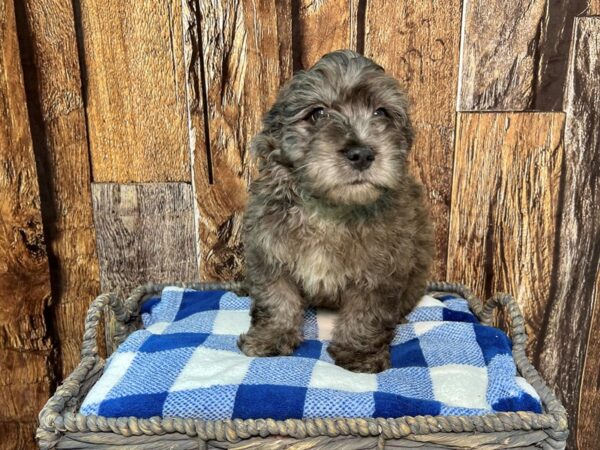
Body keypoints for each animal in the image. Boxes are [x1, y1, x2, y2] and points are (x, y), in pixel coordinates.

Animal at [238, 49, 432, 372]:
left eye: (381, 113)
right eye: (318, 114)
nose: (362, 153)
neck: (330, 209)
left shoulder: (382, 269)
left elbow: (366, 312)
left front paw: (359, 352)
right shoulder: (268, 251)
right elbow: (277, 298)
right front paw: (271, 338)